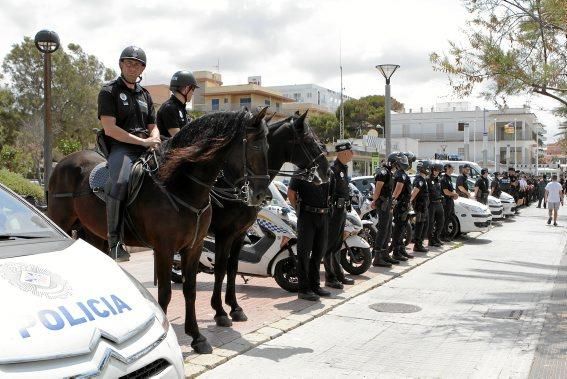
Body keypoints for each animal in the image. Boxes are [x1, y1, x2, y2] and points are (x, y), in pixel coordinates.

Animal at [47, 109, 270, 354]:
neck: (180, 185)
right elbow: (165, 292)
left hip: (95, 233)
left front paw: (197, 337)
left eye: (267, 146)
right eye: (255, 146)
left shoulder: (195, 246)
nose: (262, 195)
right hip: (60, 224)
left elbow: (190, 289)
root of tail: (62, 163)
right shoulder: (166, 248)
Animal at [209, 110, 332, 326]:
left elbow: (232, 268)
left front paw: (235, 308)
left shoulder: (238, 234)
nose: (328, 171)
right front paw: (220, 312)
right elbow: (220, 268)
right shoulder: (224, 234)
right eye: (309, 140)